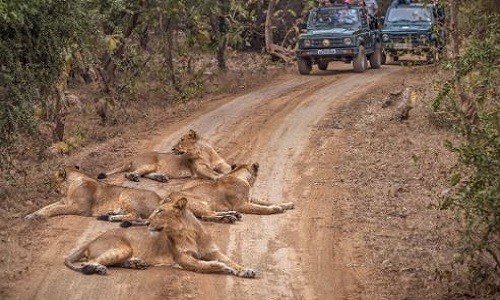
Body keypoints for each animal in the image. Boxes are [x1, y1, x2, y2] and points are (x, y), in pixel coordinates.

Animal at [24, 166, 161, 225]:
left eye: (53, 180)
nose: (53, 189)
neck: (69, 188)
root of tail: (161, 200)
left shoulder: (80, 208)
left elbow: (55, 209)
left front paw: (40, 216)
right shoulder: (64, 201)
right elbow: (46, 207)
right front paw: (31, 215)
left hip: (125, 194)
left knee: (136, 216)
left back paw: (113, 218)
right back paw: (111, 213)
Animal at [64, 197, 256, 278]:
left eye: (160, 211)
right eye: (155, 211)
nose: (147, 221)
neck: (187, 232)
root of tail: (92, 240)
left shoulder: (213, 251)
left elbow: (232, 261)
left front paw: (245, 270)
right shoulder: (183, 258)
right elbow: (205, 265)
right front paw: (223, 268)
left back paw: (135, 263)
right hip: (121, 248)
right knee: (87, 263)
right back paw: (99, 269)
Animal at [96, 129, 233, 183]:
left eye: (182, 140)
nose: (172, 148)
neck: (203, 153)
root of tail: (133, 157)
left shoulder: (221, 163)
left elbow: (228, 169)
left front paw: (229, 172)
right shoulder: (199, 168)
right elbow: (212, 172)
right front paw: (220, 177)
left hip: (151, 168)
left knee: (145, 174)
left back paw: (161, 178)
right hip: (149, 164)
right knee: (128, 174)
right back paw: (134, 177)